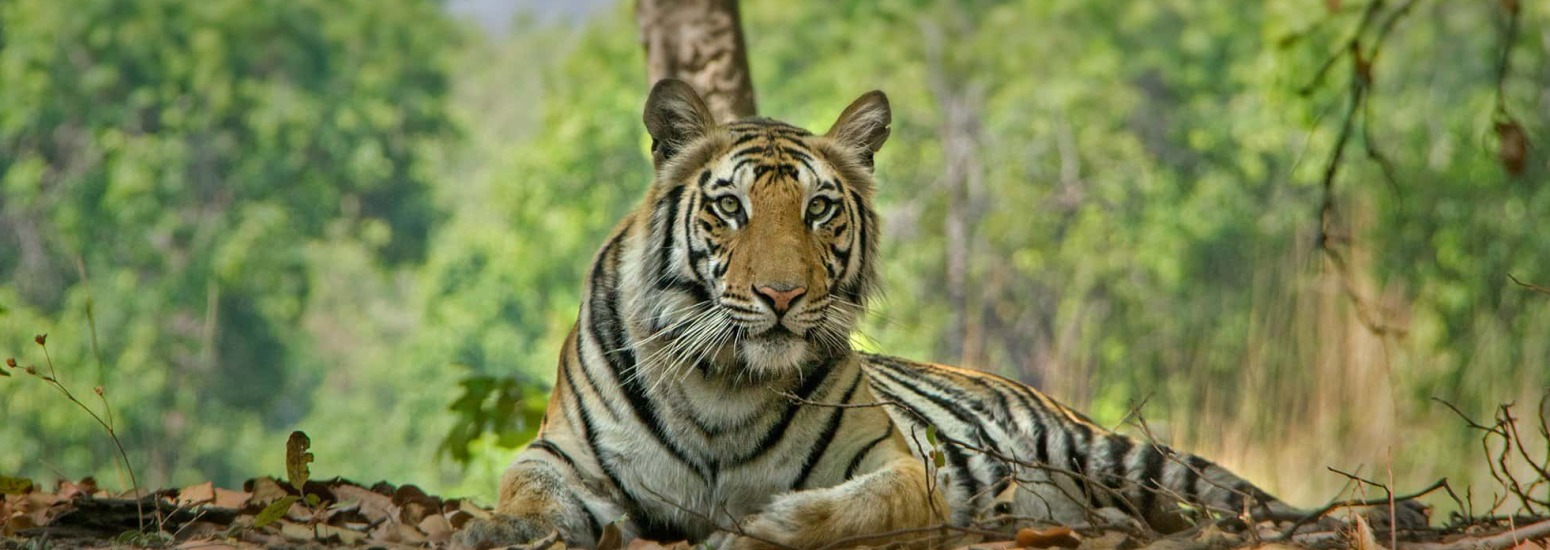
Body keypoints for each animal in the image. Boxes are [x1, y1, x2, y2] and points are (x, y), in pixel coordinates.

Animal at [455, 79, 1300, 549]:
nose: (782, 296)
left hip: (1119, 456)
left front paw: (760, 530)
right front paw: (500, 529)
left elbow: (853, 510)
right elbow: (528, 491)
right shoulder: (563, 455)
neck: (723, 385)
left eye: (819, 209)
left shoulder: (900, 466)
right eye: (729, 209)